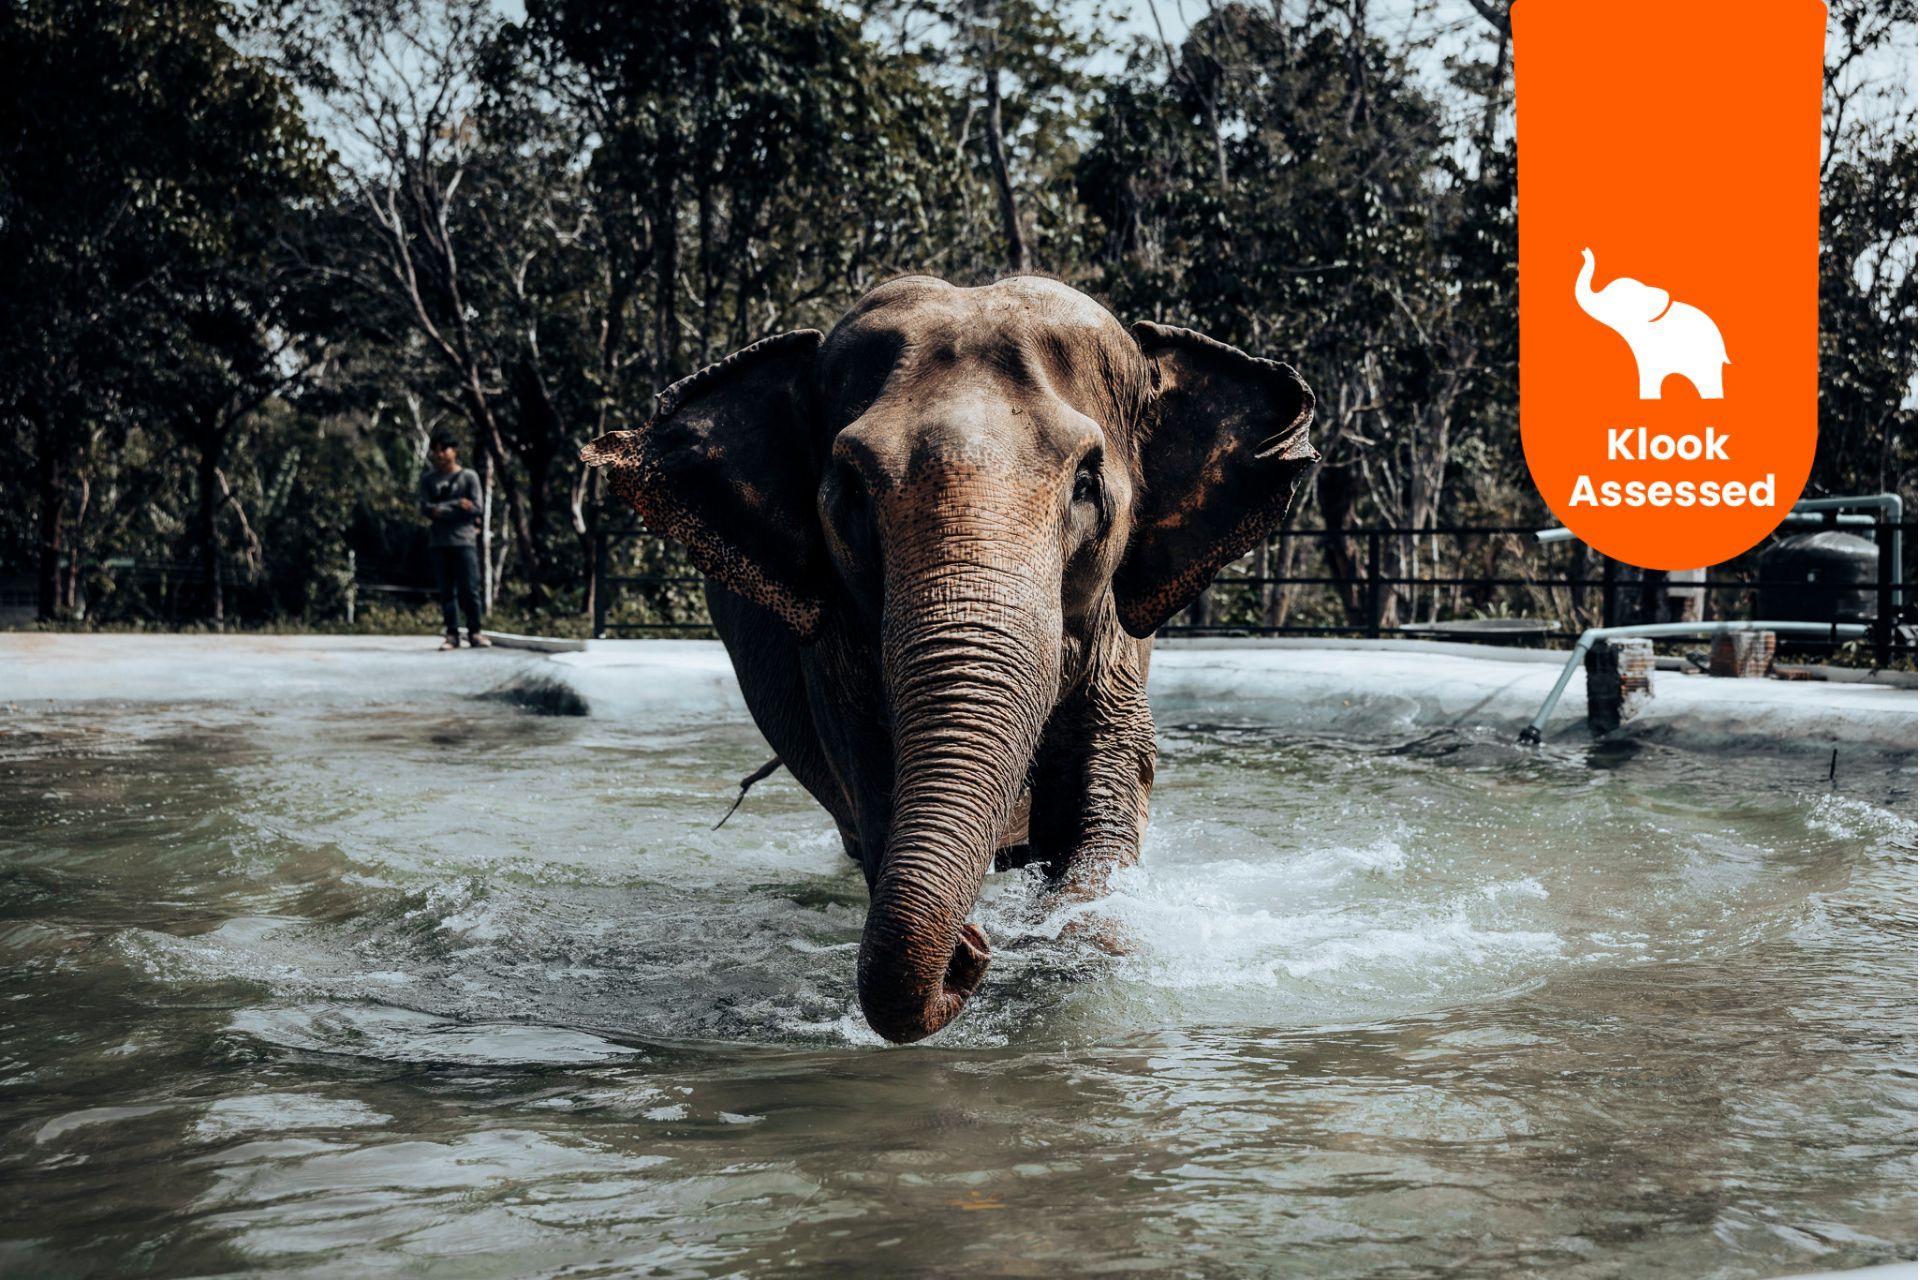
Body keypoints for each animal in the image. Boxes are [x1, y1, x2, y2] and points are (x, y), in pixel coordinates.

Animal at [582, 275, 1316, 1044]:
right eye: (849, 491)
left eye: (1087, 484)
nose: (970, 949)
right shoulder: (835, 651)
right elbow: (874, 783)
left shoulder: (1117, 637)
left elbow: (1109, 791)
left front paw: (1076, 951)